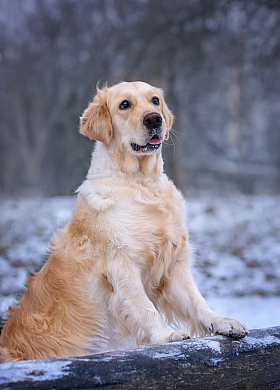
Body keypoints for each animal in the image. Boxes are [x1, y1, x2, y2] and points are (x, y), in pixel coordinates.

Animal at [0, 81, 247, 362]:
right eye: (124, 104)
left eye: (155, 100)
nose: (154, 119)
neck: (141, 182)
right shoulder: (121, 263)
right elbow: (144, 305)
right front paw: (166, 336)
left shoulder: (174, 263)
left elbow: (197, 301)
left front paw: (222, 322)